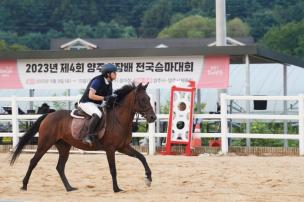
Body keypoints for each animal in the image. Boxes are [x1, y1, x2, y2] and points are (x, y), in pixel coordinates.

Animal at [9, 82, 157, 193]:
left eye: (149, 99)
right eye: (143, 99)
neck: (119, 119)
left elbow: (142, 157)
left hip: (64, 146)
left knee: (60, 167)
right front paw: (116, 189)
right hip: (45, 143)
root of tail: (49, 115)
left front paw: (148, 178)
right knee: (33, 161)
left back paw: (69, 188)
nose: (153, 118)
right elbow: (113, 169)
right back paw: (24, 185)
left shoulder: (123, 147)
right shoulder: (110, 149)